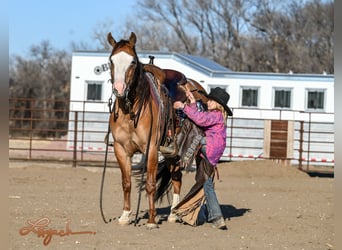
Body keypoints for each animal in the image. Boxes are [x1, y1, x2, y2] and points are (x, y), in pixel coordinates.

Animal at [107, 31, 207, 229]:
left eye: (132, 62)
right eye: (111, 60)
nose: (119, 89)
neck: (130, 111)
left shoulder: (151, 148)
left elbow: (151, 183)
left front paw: (152, 221)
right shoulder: (121, 149)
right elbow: (126, 183)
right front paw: (125, 216)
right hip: (172, 152)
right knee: (176, 178)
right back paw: (173, 214)